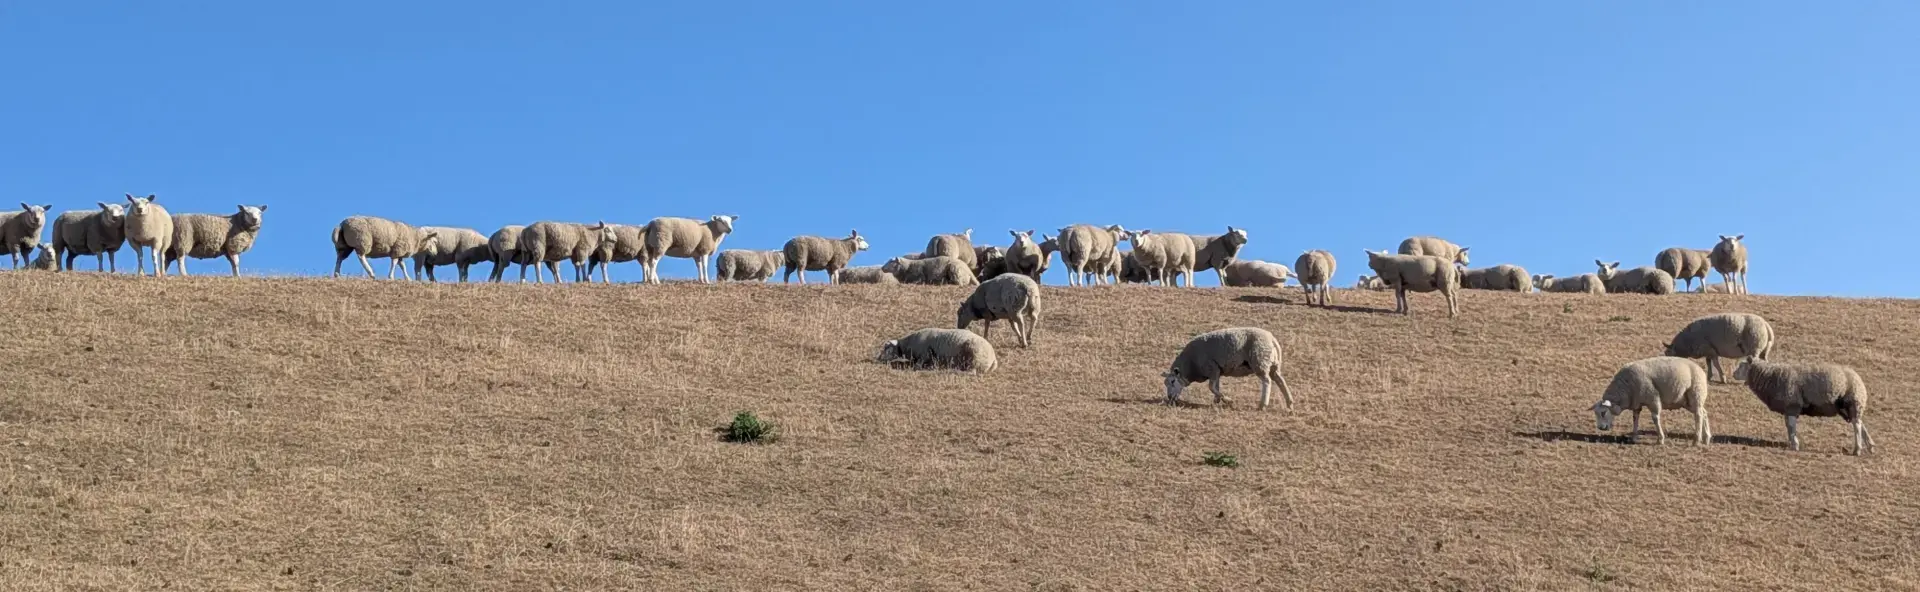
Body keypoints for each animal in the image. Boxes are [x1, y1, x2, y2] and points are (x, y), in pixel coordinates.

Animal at [1162, 327, 1296, 411]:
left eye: (1172, 381)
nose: (1169, 397)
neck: (1191, 363)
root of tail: (1271, 339)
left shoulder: (1211, 367)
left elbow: (1211, 387)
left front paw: (1227, 400)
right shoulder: (1216, 370)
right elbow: (1216, 386)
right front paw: (1217, 400)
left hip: (1260, 361)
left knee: (1267, 382)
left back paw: (1263, 405)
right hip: (1273, 364)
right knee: (1280, 381)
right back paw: (1289, 403)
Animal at [1734, 360, 1876, 455]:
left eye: (1742, 365)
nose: (1733, 373)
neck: (1770, 376)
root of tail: (1858, 379)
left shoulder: (1792, 405)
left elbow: (1791, 426)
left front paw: (1794, 444)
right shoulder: (1788, 408)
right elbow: (1788, 426)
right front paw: (1792, 442)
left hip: (1853, 402)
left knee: (1857, 426)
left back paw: (1857, 449)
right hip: (1847, 407)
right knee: (1859, 423)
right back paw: (1870, 446)